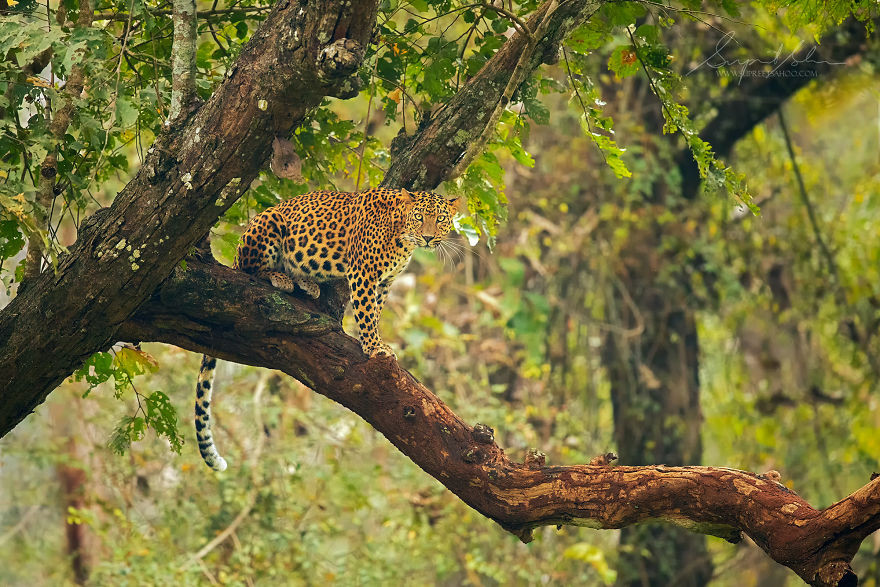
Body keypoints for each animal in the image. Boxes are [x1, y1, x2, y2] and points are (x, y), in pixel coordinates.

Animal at [194, 189, 460, 474]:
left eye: (441, 219)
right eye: (419, 217)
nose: (429, 237)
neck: (402, 235)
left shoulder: (385, 282)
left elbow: (375, 311)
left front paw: (377, 341)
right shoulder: (363, 273)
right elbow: (366, 312)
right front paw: (373, 346)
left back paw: (306, 282)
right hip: (268, 223)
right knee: (252, 269)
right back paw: (280, 277)